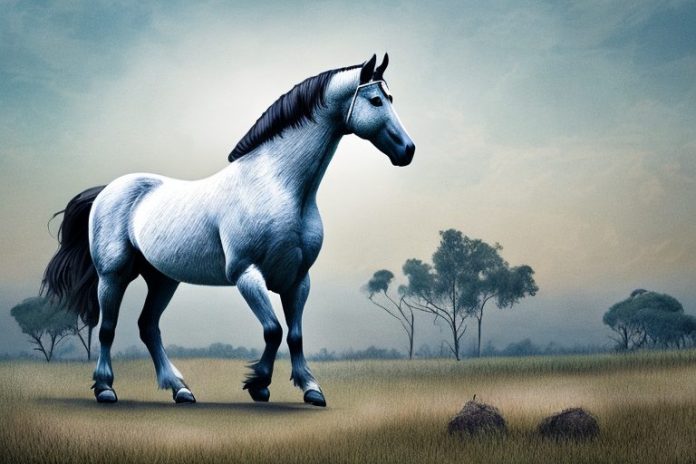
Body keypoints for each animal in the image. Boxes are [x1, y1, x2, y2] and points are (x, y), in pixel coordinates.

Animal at [42, 53, 415, 407]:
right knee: (107, 328)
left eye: (391, 97)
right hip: (113, 275)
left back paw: (180, 390)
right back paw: (106, 389)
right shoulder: (246, 274)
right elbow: (272, 330)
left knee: (148, 327)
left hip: (163, 279)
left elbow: (294, 335)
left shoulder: (298, 279)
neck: (277, 185)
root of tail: (107, 190)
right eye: (376, 101)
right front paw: (258, 384)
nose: (407, 150)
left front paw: (310, 389)